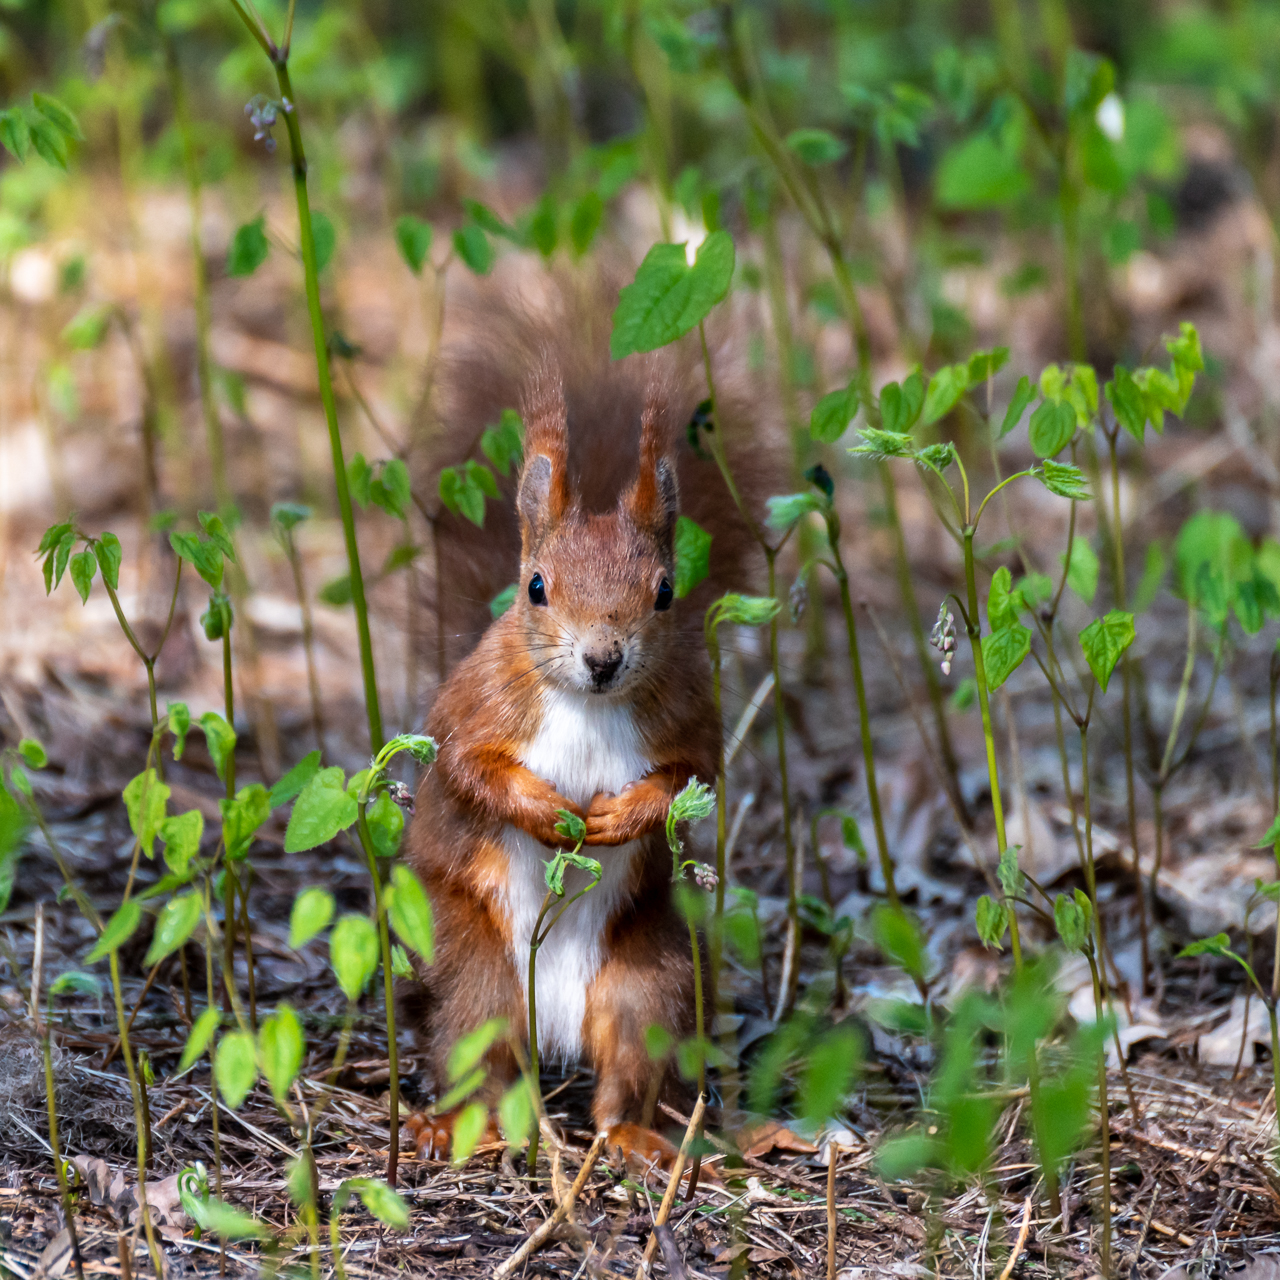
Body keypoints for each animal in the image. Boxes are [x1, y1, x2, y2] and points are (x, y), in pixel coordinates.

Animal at [399, 288, 768, 1162]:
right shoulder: (476, 704)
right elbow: (469, 767)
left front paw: (615, 818)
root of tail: (557, 1025)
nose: (604, 658)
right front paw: (550, 812)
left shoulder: (688, 713)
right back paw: (456, 1127)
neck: (591, 705)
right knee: (481, 1056)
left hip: (649, 983)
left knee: (623, 1078)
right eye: (536, 586)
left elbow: (693, 777)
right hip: (480, 983)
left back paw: (639, 1139)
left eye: (664, 592)